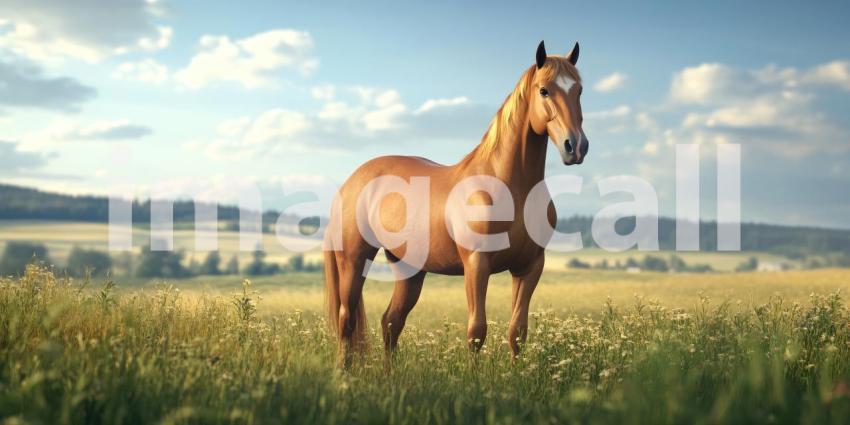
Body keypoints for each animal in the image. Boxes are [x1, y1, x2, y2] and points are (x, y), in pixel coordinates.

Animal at [325, 40, 589, 366]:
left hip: (409, 269)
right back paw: (343, 373)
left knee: (391, 322)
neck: (510, 187)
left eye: (579, 91)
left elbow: (517, 332)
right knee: (346, 319)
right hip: (354, 260)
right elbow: (477, 331)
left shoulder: (529, 267)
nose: (575, 146)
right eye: (544, 90)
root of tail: (352, 181)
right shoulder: (476, 264)